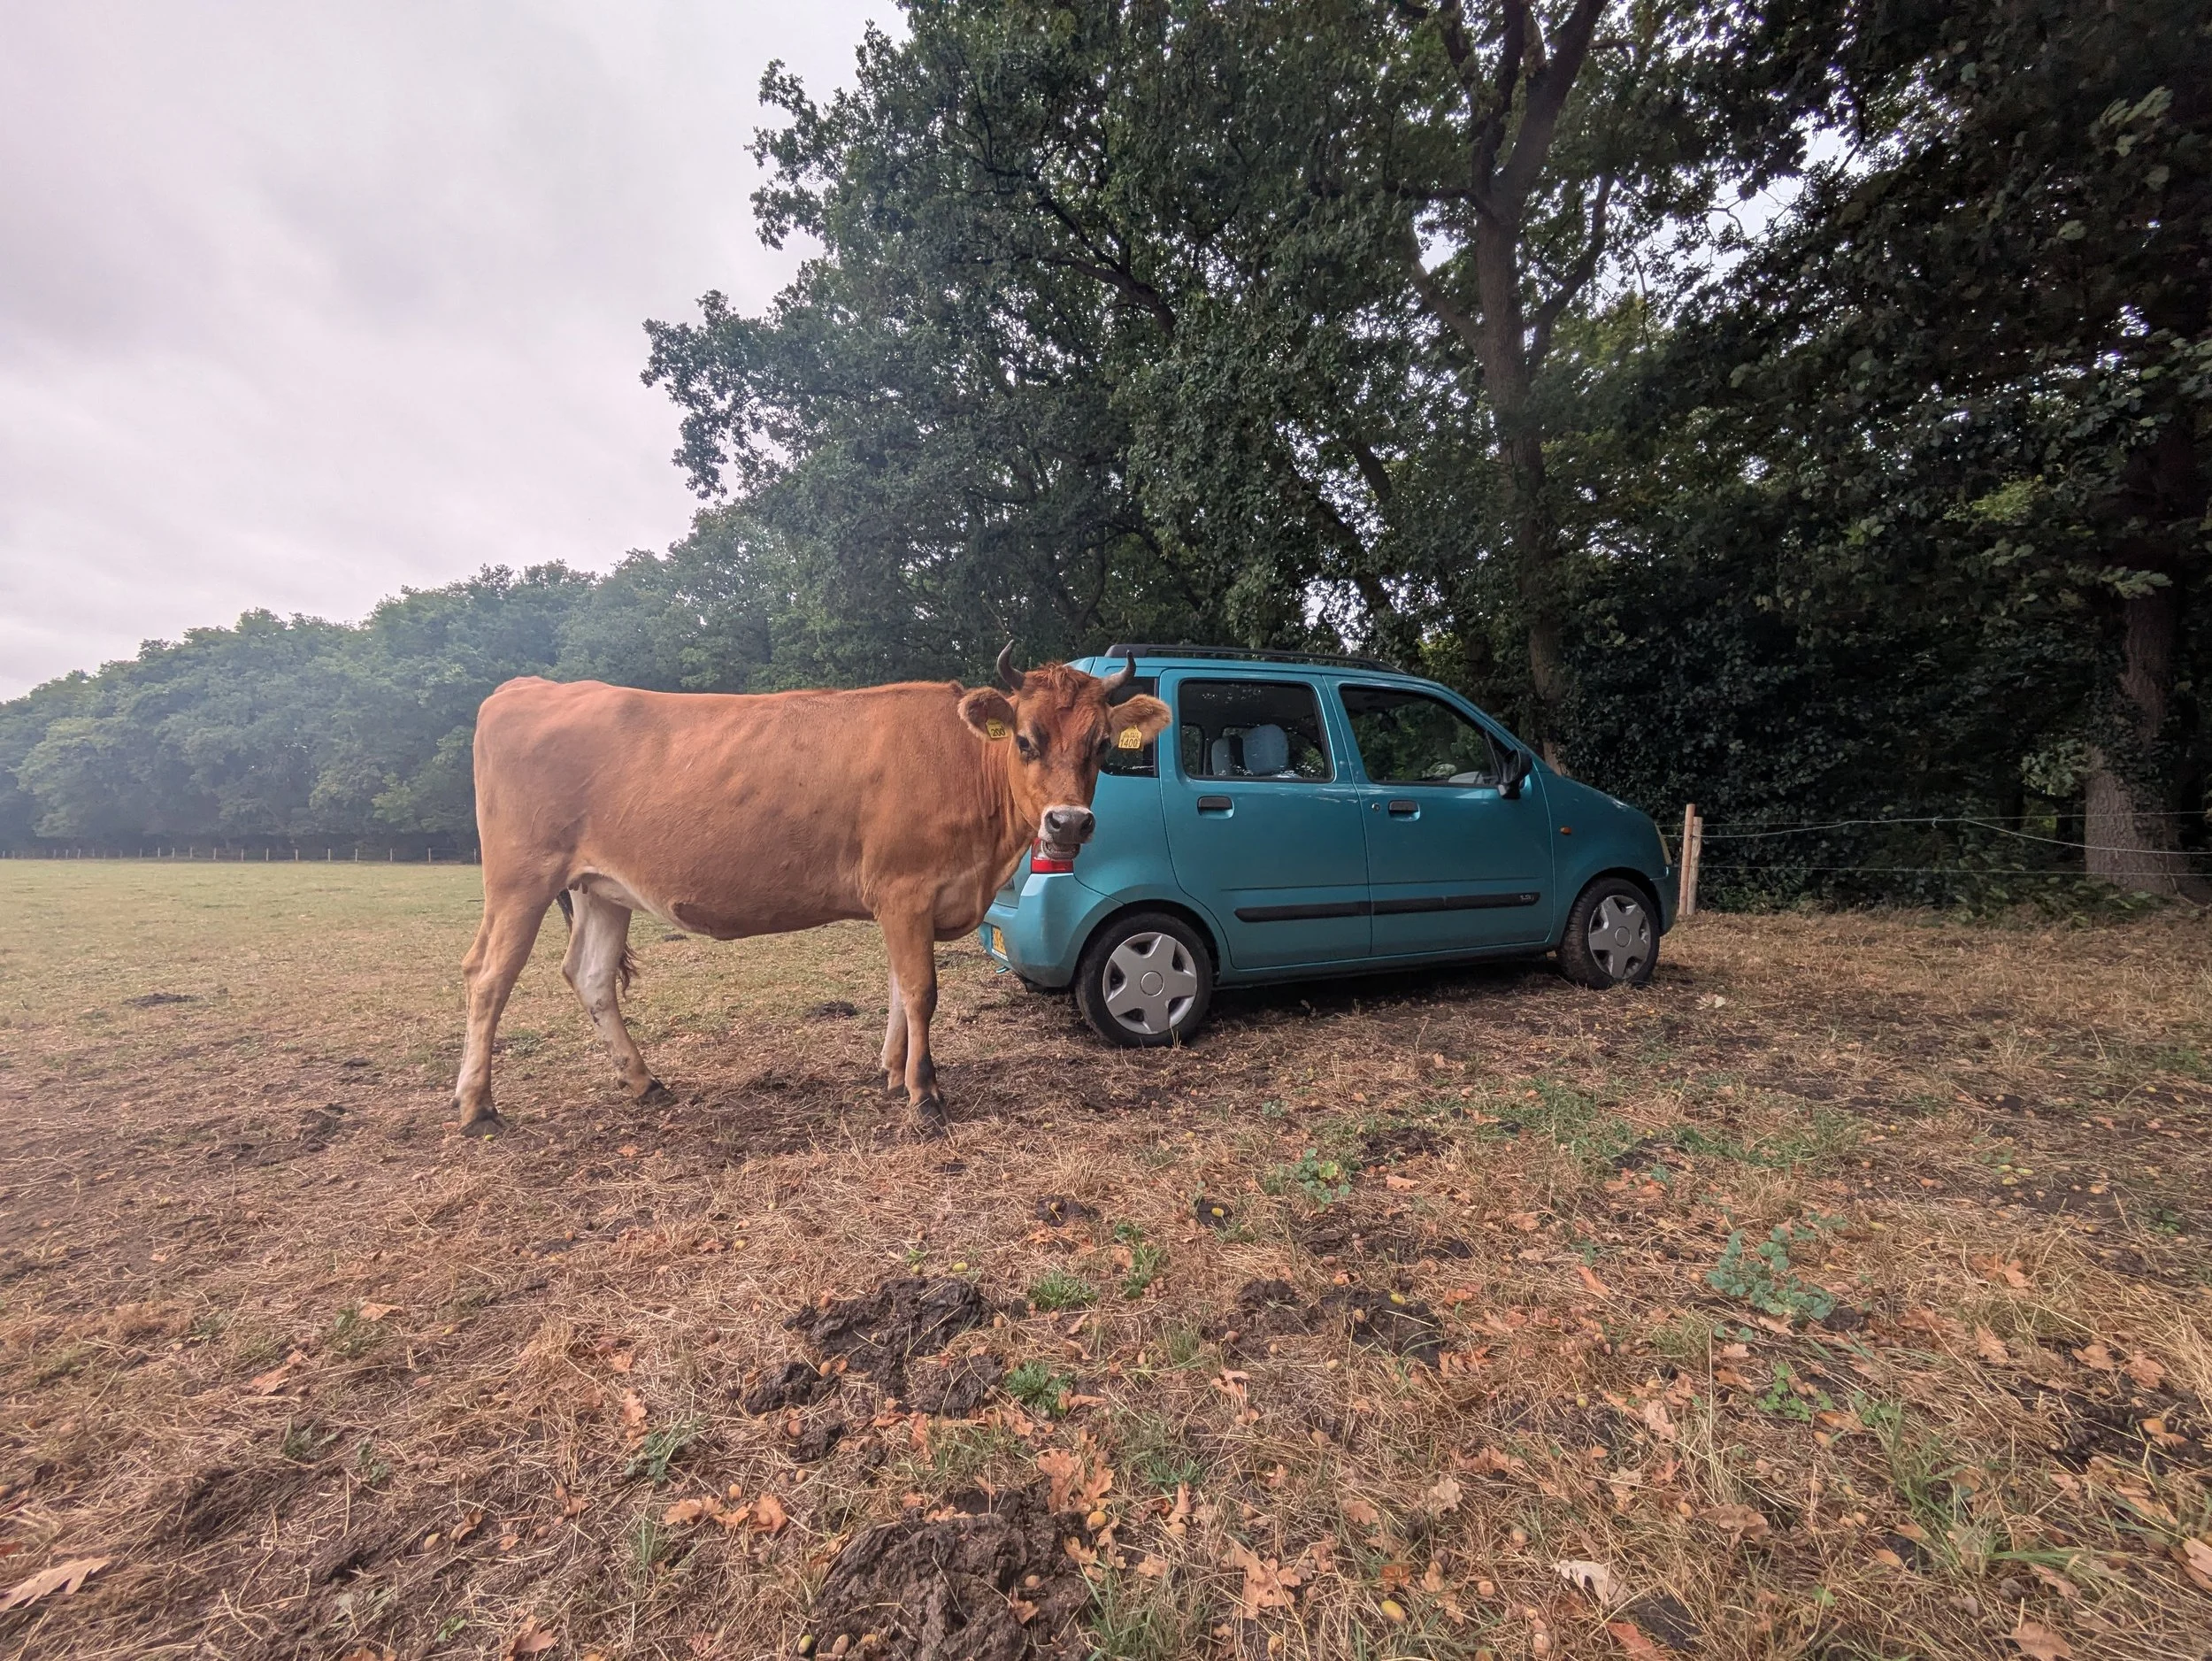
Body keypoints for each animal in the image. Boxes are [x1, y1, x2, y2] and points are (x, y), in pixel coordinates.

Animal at [452, 648, 1171, 1134]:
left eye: (1102, 744)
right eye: (1025, 739)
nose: (1069, 823)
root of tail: (527, 687)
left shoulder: (900, 901)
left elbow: (896, 987)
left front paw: (892, 1072)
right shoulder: (907, 889)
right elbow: (921, 990)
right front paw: (925, 1093)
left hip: (600, 887)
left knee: (591, 974)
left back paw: (642, 1080)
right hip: (520, 877)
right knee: (489, 975)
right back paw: (477, 1106)